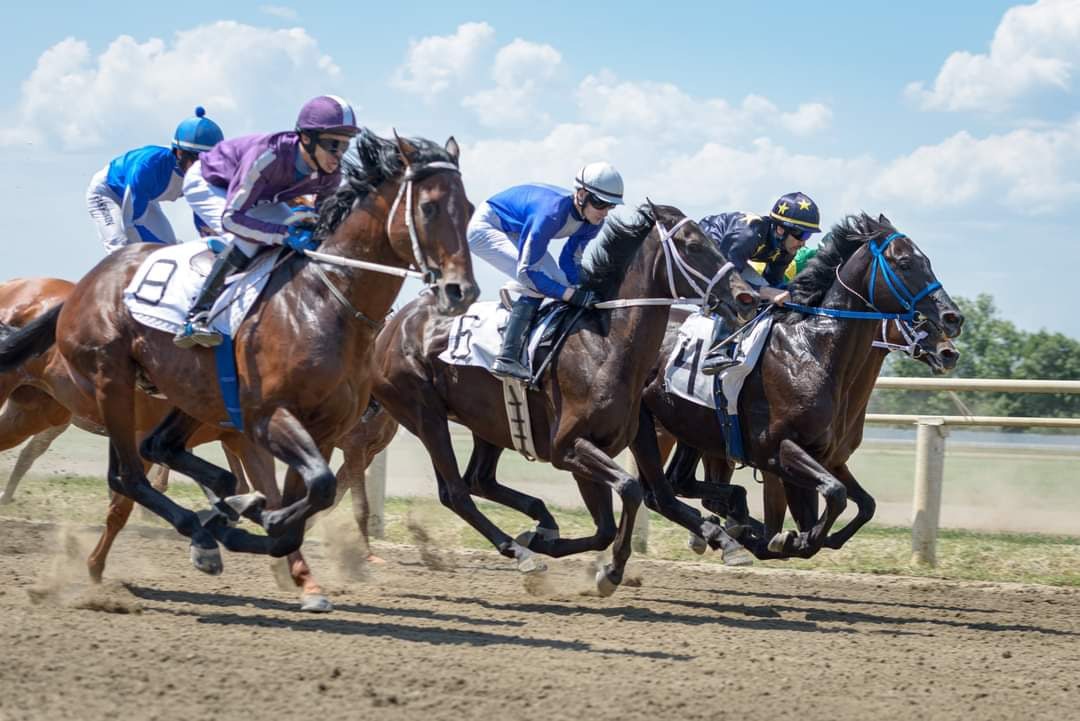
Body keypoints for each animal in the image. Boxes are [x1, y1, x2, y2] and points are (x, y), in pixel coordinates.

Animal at [0, 131, 477, 574]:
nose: (461, 291)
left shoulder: (323, 431)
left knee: (157, 450)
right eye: (430, 207)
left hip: (168, 396)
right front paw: (243, 521)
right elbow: (314, 492)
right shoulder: (270, 417)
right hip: (110, 383)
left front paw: (247, 521)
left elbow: (308, 504)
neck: (323, 302)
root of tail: (85, 284)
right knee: (128, 476)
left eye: (470, 209)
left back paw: (222, 509)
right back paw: (204, 525)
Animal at [371, 203, 760, 595]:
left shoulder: (611, 442)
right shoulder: (567, 447)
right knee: (455, 492)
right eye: (692, 245)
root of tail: (392, 326)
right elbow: (630, 489)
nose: (746, 297)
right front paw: (608, 570)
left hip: (488, 421)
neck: (606, 347)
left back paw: (539, 522)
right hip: (426, 414)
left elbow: (618, 519)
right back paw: (520, 551)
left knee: (478, 479)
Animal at [630, 211, 967, 561]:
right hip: (653, 426)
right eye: (904, 263)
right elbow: (833, 496)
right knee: (659, 493)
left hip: (690, 429)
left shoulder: (827, 457)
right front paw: (778, 538)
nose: (952, 320)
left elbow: (859, 504)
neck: (813, 351)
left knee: (677, 483)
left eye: (926, 260)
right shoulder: (778, 451)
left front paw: (793, 538)